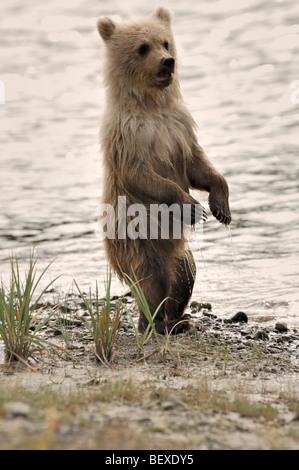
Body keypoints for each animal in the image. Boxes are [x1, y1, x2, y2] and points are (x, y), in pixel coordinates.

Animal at [97, 7, 231, 334]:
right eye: (142, 47)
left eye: (166, 42)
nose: (167, 61)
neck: (151, 106)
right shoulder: (128, 137)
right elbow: (143, 175)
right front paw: (194, 208)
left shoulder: (178, 127)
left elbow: (199, 166)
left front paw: (221, 207)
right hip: (136, 239)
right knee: (150, 282)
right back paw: (154, 322)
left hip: (173, 252)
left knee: (184, 271)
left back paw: (180, 318)